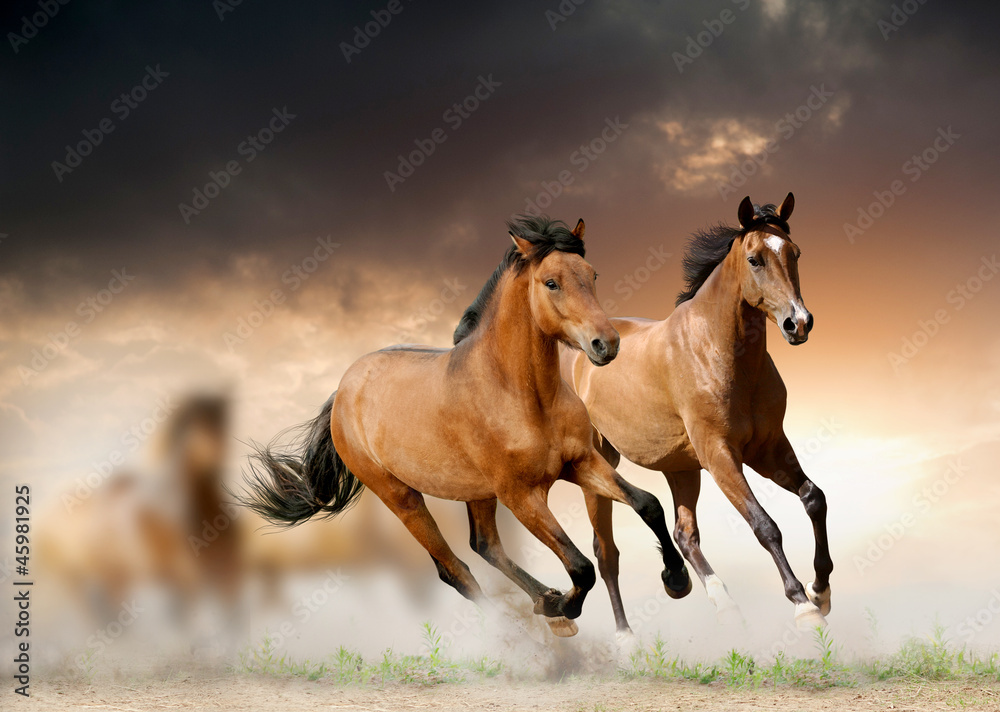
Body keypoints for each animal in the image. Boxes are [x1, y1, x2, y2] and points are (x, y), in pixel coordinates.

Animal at [239, 216, 691, 638]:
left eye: (592, 275)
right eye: (551, 283)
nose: (606, 345)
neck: (523, 395)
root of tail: (343, 390)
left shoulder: (580, 463)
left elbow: (648, 504)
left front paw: (676, 580)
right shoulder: (521, 495)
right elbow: (580, 567)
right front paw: (564, 606)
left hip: (477, 492)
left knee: (484, 545)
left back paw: (544, 602)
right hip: (402, 497)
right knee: (454, 569)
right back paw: (526, 628)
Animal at [562, 193, 833, 638]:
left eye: (794, 253)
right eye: (755, 259)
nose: (799, 323)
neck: (718, 351)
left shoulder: (768, 449)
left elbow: (814, 498)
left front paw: (820, 590)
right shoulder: (720, 455)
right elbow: (765, 525)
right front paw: (802, 605)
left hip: (681, 468)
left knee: (684, 535)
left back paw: (719, 603)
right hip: (600, 464)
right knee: (606, 553)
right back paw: (625, 637)